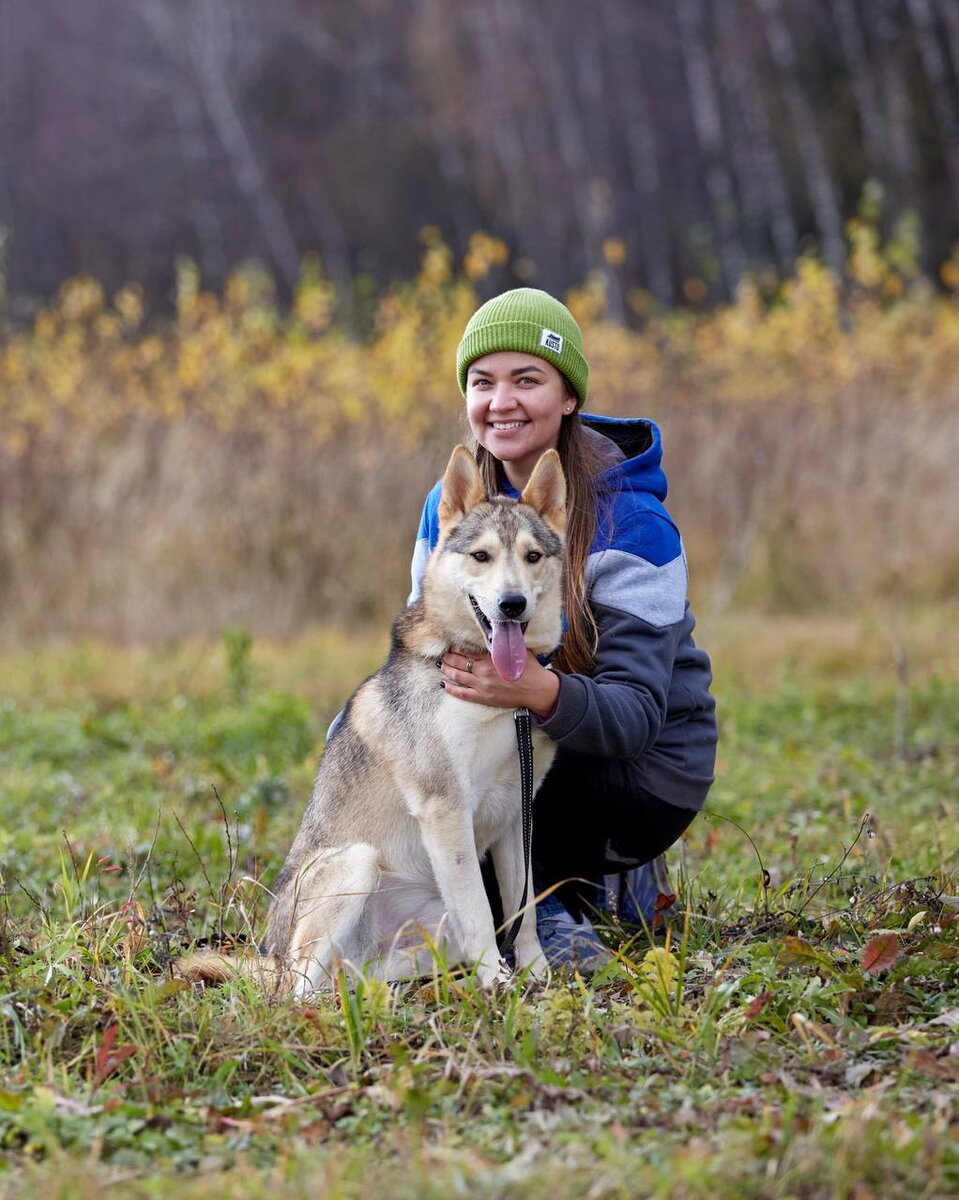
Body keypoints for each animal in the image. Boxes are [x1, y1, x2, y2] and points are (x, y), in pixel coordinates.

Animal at [183, 448, 566, 993]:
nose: (512, 604)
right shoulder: (445, 808)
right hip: (356, 863)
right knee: (297, 991)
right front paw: (498, 982)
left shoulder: (516, 813)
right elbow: (480, 913)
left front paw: (536, 975)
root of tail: (271, 958)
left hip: (429, 929)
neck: (494, 697)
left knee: (355, 974)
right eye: (481, 556)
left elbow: (524, 909)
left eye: (533, 557)